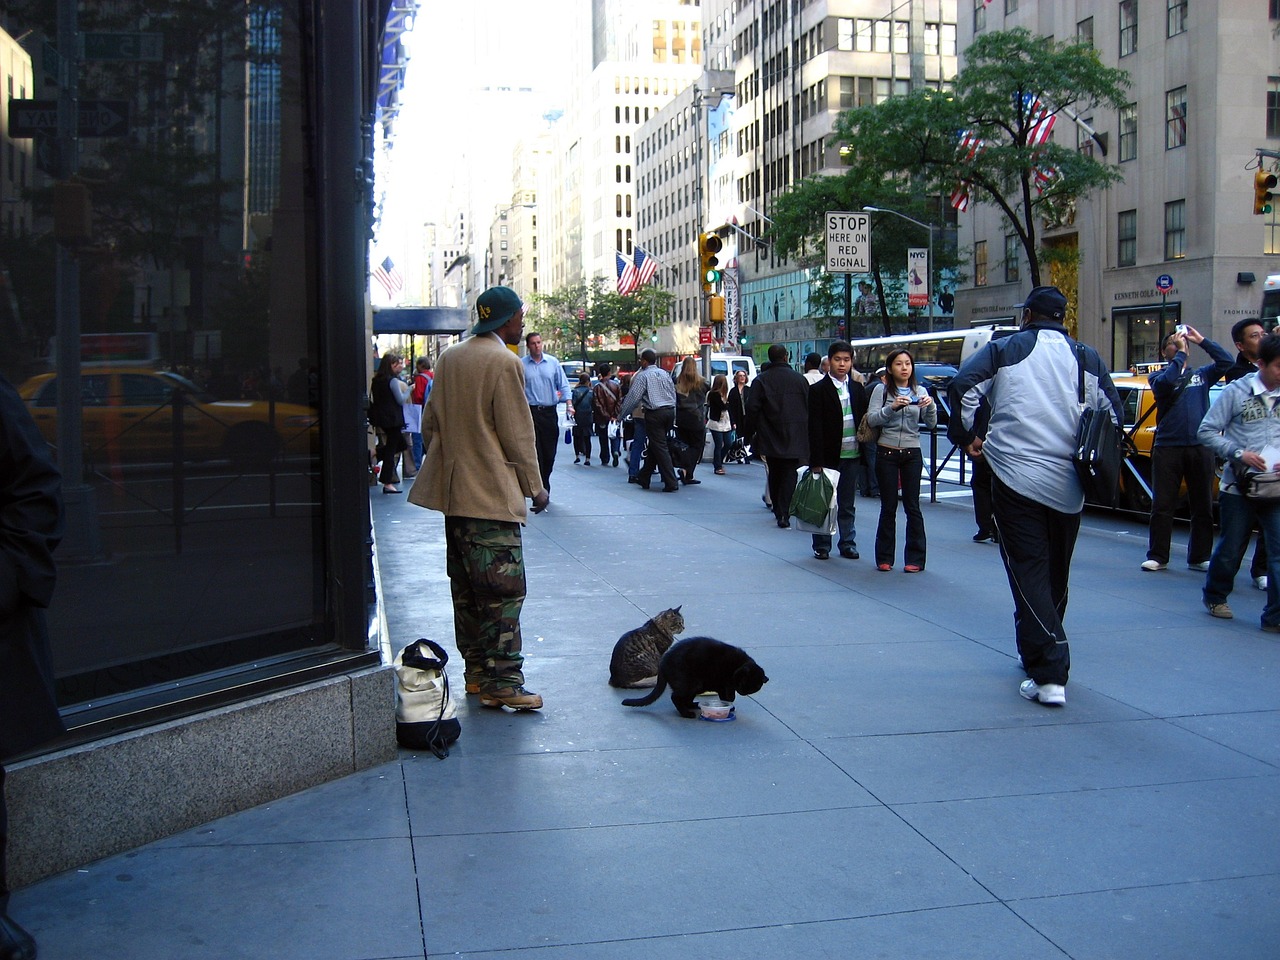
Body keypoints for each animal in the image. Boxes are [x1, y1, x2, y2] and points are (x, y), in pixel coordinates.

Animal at [622, 634, 768, 716]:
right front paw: (730, 701)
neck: (738, 665)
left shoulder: (722, 685)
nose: (743, 692)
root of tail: (662, 663)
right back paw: (686, 713)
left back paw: (694, 705)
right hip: (691, 683)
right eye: (743, 683)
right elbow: (728, 694)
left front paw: (728, 705)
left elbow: (725, 697)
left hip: (697, 687)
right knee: (675, 697)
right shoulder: (724, 682)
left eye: (753, 688)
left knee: (686, 699)